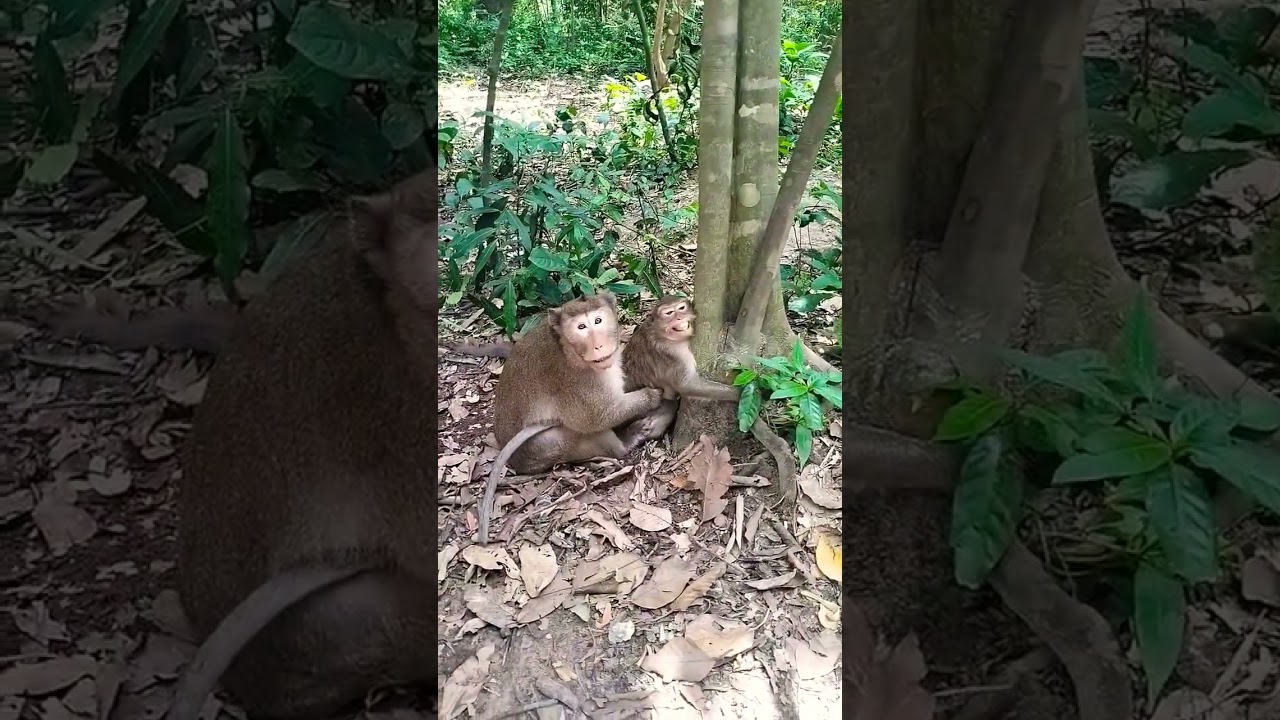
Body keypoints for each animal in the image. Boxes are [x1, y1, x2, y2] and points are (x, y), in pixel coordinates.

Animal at [477, 293, 673, 543]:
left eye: (598, 320)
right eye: (581, 327)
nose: (598, 345)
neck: (567, 348)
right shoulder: (575, 380)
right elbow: (598, 415)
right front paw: (651, 396)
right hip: (544, 447)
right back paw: (626, 442)